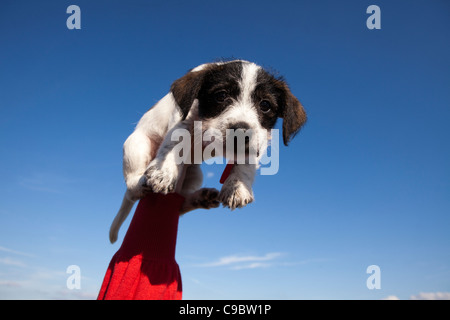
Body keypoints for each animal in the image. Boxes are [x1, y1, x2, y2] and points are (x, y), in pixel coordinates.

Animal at [109, 60, 306, 244]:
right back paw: (141, 182)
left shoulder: (260, 139)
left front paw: (237, 185)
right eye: (221, 95)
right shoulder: (184, 119)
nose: (241, 132)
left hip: (196, 174)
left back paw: (199, 198)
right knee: (132, 188)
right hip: (136, 145)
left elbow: (246, 163)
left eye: (265, 105)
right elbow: (175, 143)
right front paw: (164, 171)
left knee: (179, 204)